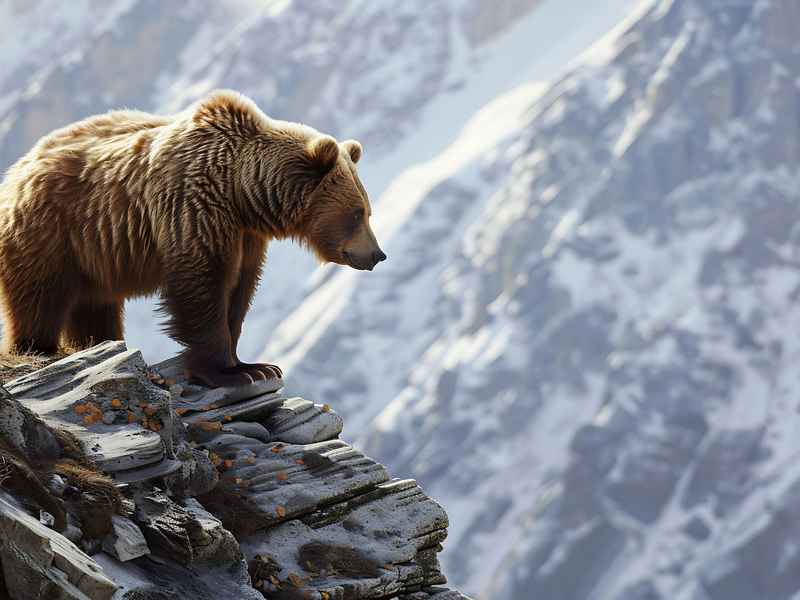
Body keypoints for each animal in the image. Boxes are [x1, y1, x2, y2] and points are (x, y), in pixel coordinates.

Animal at [0, 90, 386, 387]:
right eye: (357, 212)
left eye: (366, 210)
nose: (377, 254)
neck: (241, 192)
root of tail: (17, 169)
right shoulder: (195, 208)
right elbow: (202, 283)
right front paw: (229, 371)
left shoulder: (246, 236)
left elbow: (240, 290)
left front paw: (255, 365)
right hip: (51, 232)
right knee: (41, 294)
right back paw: (39, 347)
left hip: (95, 253)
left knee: (94, 306)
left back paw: (102, 342)